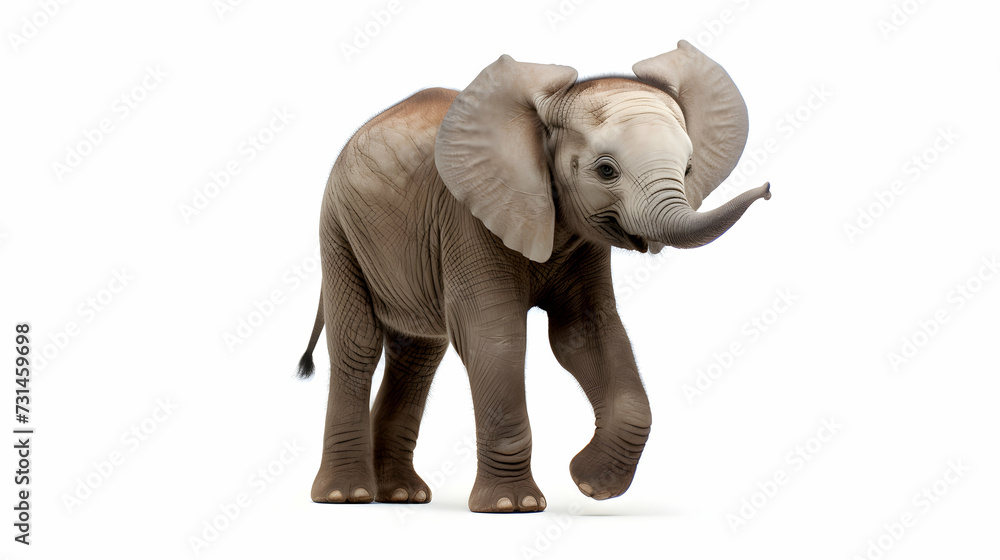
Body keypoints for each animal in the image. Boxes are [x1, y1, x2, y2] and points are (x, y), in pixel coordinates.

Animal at [295, 40, 770, 513]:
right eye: (606, 170)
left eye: (688, 169)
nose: (768, 190)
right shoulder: (467, 218)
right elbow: (495, 337)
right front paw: (513, 505)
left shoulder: (582, 243)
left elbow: (585, 334)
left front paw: (591, 484)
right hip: (338, 229)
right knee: (357, 346)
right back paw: (346, 496)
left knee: (418, 355)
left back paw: (401, 495)